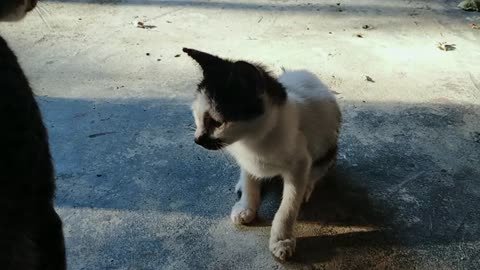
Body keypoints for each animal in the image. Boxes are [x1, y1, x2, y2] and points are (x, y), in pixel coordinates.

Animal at [184, 48, 342, 262]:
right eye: (196, 116)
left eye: (216, 123)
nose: (197, 140)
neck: (253, 140)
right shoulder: (246, 159)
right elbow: (249, 179)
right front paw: (246, 206)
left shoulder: (300, 163)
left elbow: (288, 206)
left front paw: (281, 240)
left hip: (328, 145)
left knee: (321, 166)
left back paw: (309, 184)